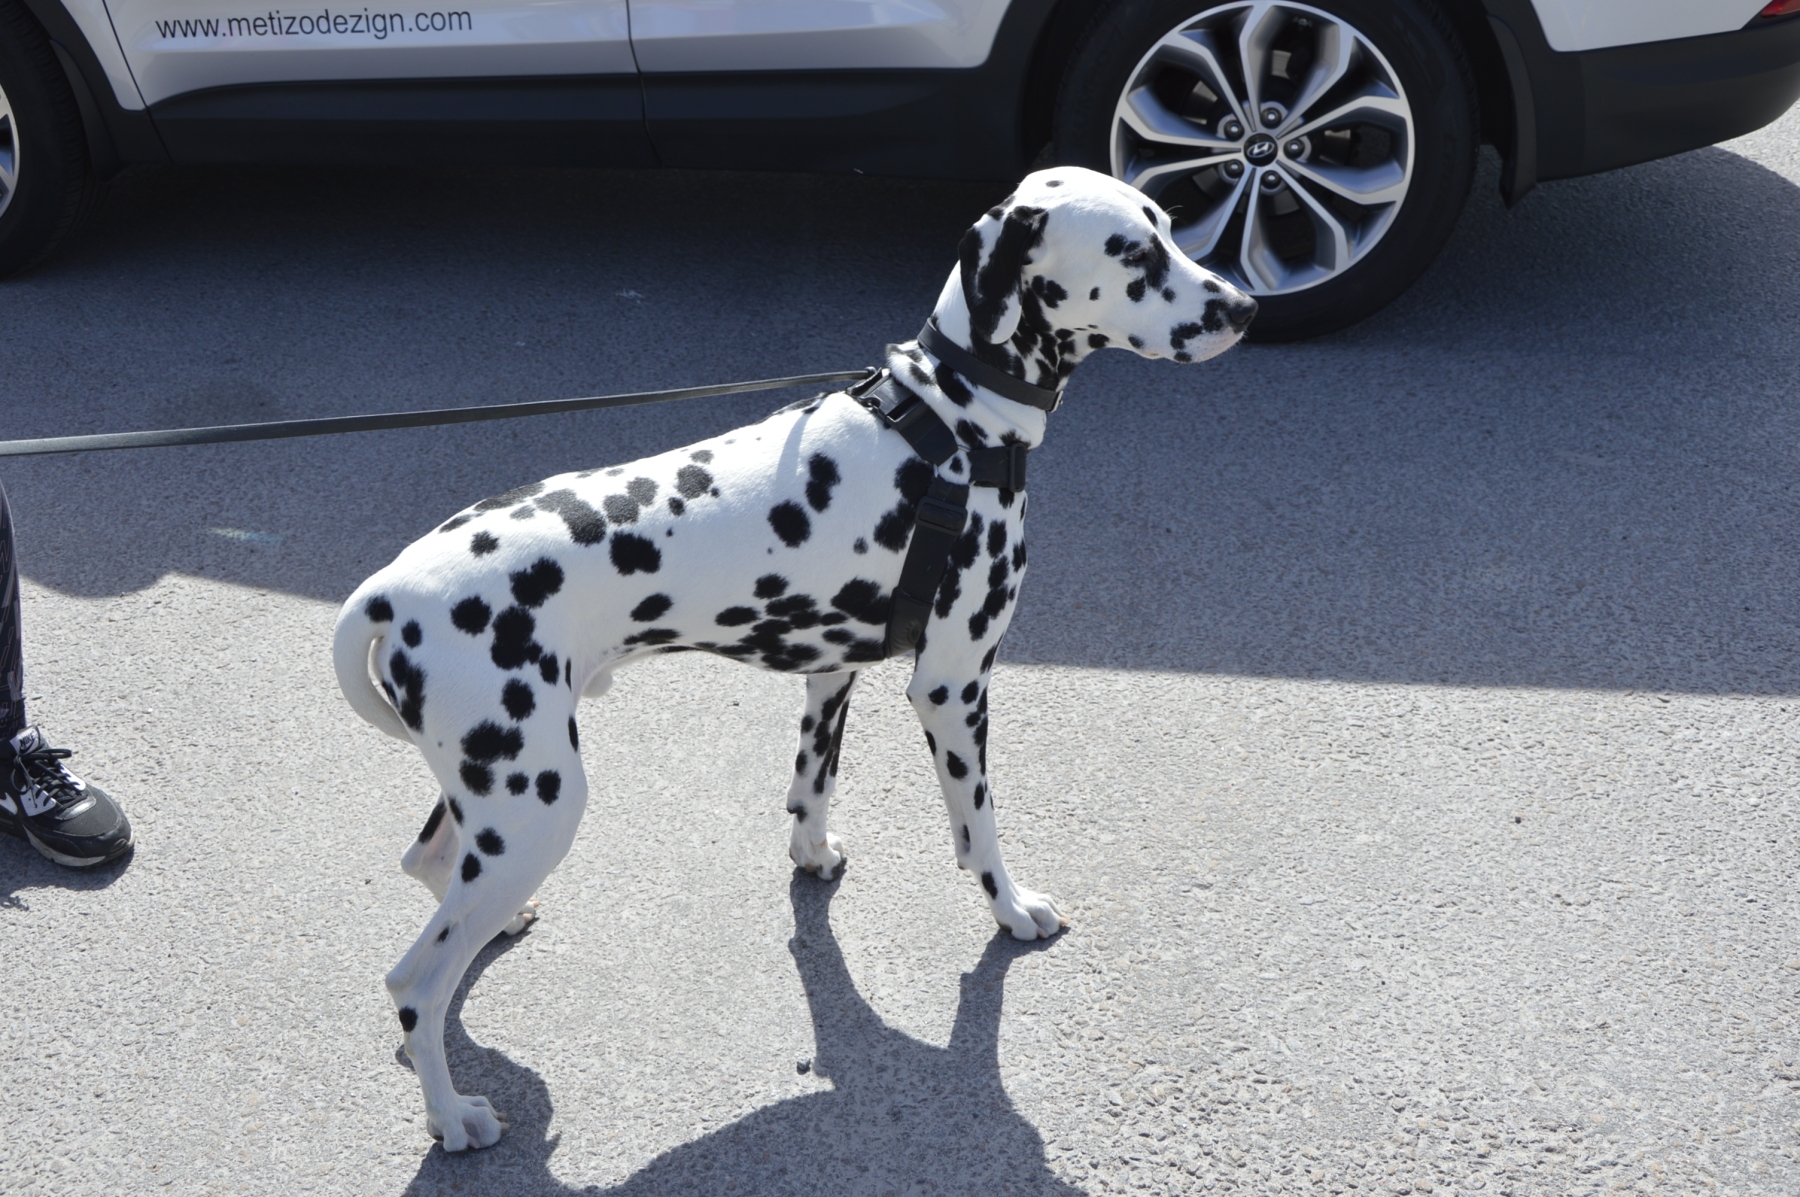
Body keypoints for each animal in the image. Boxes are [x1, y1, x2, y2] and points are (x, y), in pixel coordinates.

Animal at [333, 166, 1256, 1151]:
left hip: (497, 795)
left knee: (431, 872)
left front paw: (811, 853)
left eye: (1170, 227)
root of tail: (392, 586)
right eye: (1133, 251)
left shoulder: (831, 671)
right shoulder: (953, 686)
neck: (951, 423)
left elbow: (813, 782)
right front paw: (1012, 909)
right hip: (540, 805)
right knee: (414, 983)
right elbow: (979, 828)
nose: (1244, 308)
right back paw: (452, 1115)